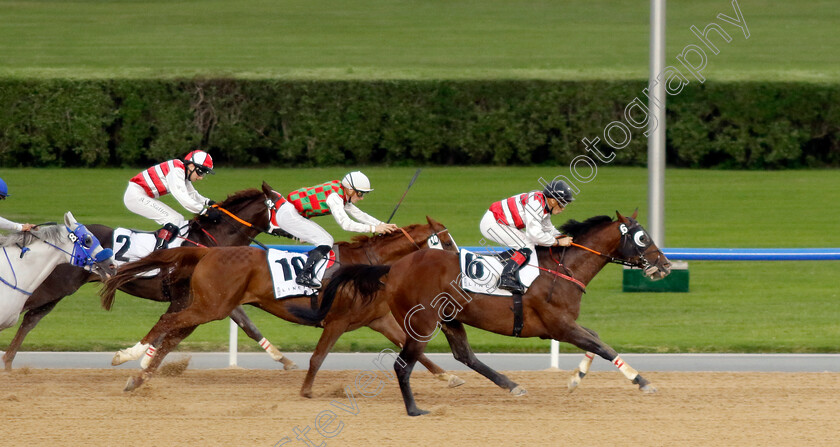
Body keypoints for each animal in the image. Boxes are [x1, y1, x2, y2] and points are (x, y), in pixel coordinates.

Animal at [1, 181, 296, 372]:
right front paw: (130, 356)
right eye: (286, 209)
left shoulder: (217, 296)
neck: (212, 241)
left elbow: (249, 326)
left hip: (57, 291)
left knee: (30, 319)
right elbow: (163, 330)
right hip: (54, 286)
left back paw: (9, 362)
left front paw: (285, 360)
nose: (298, 229)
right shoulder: (183, 297)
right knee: (25, 312)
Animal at [102, 217, 466, 396]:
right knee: (167, 324)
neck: (369, 266)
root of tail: (207, 251)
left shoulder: (378, 320)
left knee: (173, 334)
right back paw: (127, 356)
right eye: (447, 241)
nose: (459, 264)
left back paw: (139, 378)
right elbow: (318, 357)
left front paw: (449, 378)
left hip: (207, 306)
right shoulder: (337, 321)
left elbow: (416, 350)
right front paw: (306, 390)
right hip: (211, 307)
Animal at [318, 212, 672, 414]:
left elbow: (595, 341)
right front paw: (642, 381)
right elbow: (601, 345)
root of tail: (393, 268)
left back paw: (511, 385)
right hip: (423, 323)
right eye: (643, 237)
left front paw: (576, 378)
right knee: (402, 365)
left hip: (450, 319)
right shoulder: (558, 324)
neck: (564, 269)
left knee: (464, 355)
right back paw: (415, 410)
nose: (665, 265)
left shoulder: (566, 324)